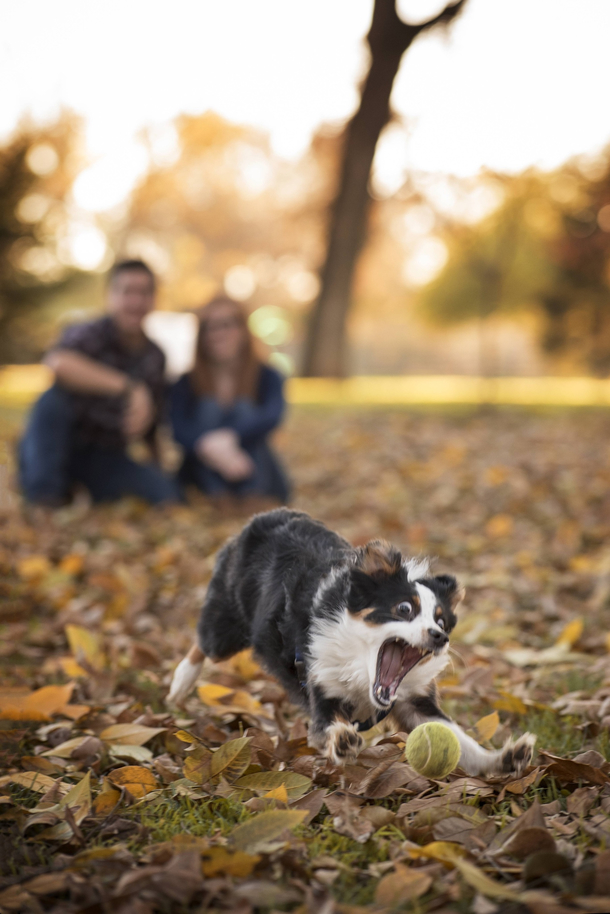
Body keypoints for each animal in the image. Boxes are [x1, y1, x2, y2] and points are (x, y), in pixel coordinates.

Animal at [170, 510, 532, 772]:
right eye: (404, 609)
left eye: (442, 621)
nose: (439, 637)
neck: (361, 665)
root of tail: (263, 517)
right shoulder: (321, 682)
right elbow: (329, 726)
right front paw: (341, 740)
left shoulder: (415, 702)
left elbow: (459, 738)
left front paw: (503, 758)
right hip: (225, 629)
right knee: (203, 644)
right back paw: (180, 683)